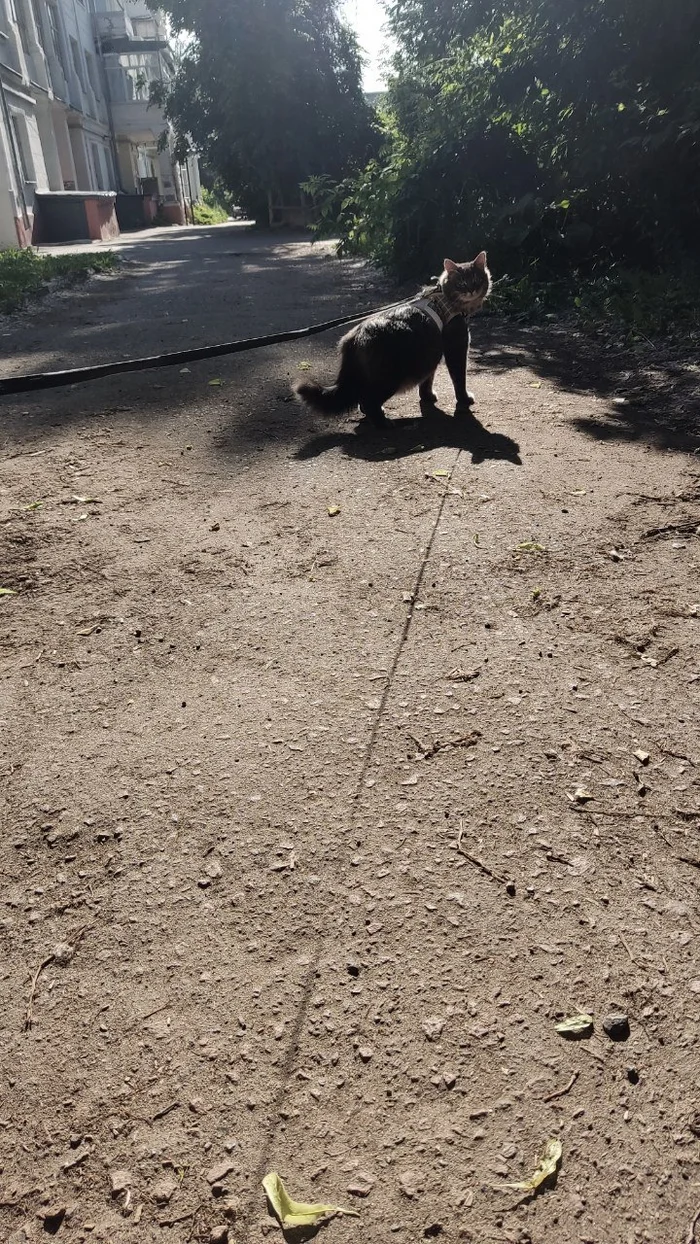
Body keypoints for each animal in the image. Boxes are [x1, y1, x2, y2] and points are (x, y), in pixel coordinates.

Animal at [293, 252, 489, 427]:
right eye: (461, 283)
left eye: (477, 280)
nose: (471, 290)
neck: (445, 298)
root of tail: (354, 338)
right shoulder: (456, 347)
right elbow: (459, 379)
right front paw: (464, 399)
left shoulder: (432, 354)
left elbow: (427, 381)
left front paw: (428, 397)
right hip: (389, 378)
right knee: (368, 401)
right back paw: (384, 422)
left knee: (364, 400)